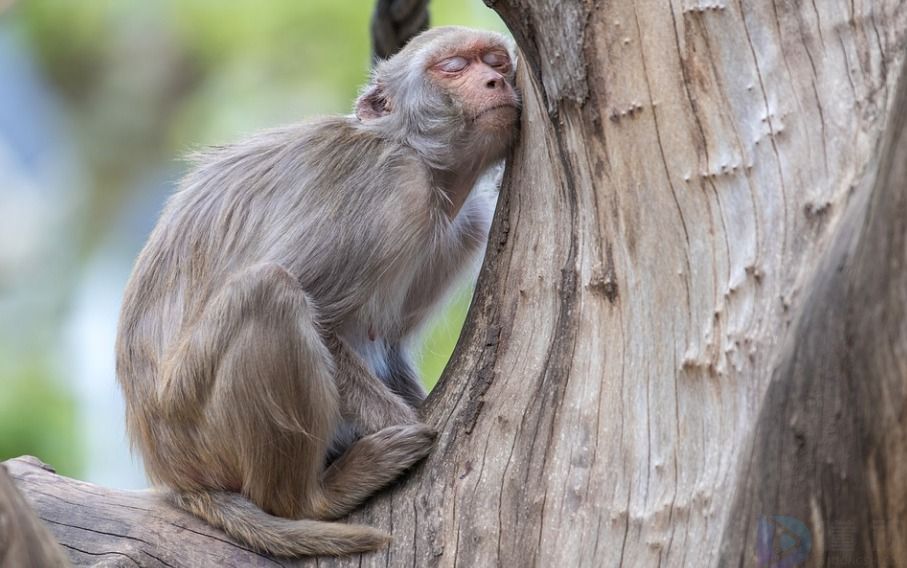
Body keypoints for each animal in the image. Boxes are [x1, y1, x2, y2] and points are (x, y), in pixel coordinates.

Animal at [115, 24, 516, 556]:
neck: (422, 161)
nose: (496, 80)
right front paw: (408, 423)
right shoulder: (389, 189)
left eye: (496, 61)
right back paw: (312, 498)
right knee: (270, 292)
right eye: (453, 67)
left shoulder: (466, 225)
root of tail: (173, 474)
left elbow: (387, 341)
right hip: (196, 425)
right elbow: (320, 316)